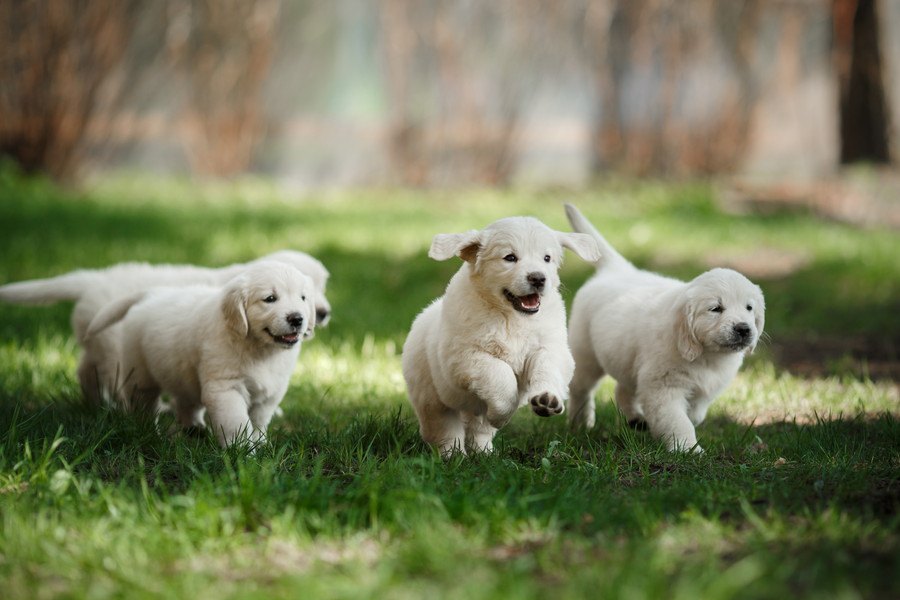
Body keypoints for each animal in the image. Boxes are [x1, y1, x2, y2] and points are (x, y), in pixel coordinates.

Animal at [0, 248, 330, 404]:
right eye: (272, 298)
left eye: (321, 286)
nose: (323, 313)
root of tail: (92, 280)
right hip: (114, 346)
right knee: (114, 378)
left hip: (96, 341)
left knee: (85, 370)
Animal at [85, 262, 316, 446]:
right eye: (270, 299)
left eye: (303, 298)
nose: (297, 319)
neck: (260, 349)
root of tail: (152, 294)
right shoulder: (225, 388)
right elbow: (237, 422)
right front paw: (242, 452)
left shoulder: (271, 392)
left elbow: (259, 420)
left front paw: (260, 444)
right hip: (140, 374)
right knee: (144, 404)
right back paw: (149, 432)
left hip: (183, 374)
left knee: (186, 403)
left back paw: (194, 430)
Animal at [402, 216, 600, 454]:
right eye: (510, 258)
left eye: (547, 258)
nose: (538, 278)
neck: (511, 317)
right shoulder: (464, 357)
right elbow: (500, 374)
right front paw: (502, 415)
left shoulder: (550, 347)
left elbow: (547, 368)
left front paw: (547, 399)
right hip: (431, 397)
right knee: (444, 429)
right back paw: (454, 455)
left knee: (478, 429)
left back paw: (484, 453)